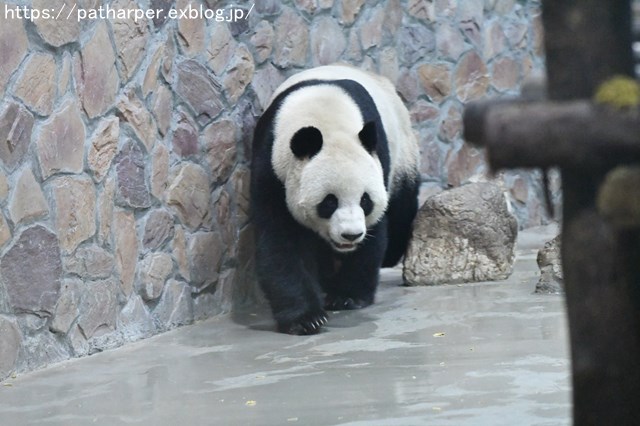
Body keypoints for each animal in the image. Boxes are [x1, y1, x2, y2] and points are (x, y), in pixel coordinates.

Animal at [250, 64, 420, 336]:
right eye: (329, 202)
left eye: (365, 201)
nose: (351, 235)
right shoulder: (271, 167)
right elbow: (280, 240)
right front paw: (306, 319)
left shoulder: (378, 159)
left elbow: (374, 235)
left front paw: (347, 297)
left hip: (403, 152)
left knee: (402, 206)